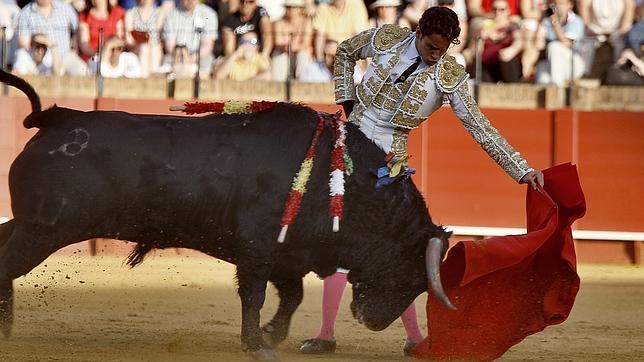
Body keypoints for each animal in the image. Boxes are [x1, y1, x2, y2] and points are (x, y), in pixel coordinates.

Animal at [0, 70, 452, 360]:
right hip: (43, 229)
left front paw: (272, 334)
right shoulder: (258, 249)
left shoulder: (288, 253)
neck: (336, 178)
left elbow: (291, 295)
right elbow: (254, 296)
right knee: (7, 266)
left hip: (29, 224)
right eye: (410, 272)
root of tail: (56, 117)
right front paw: (258, 345)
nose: (374, 322)